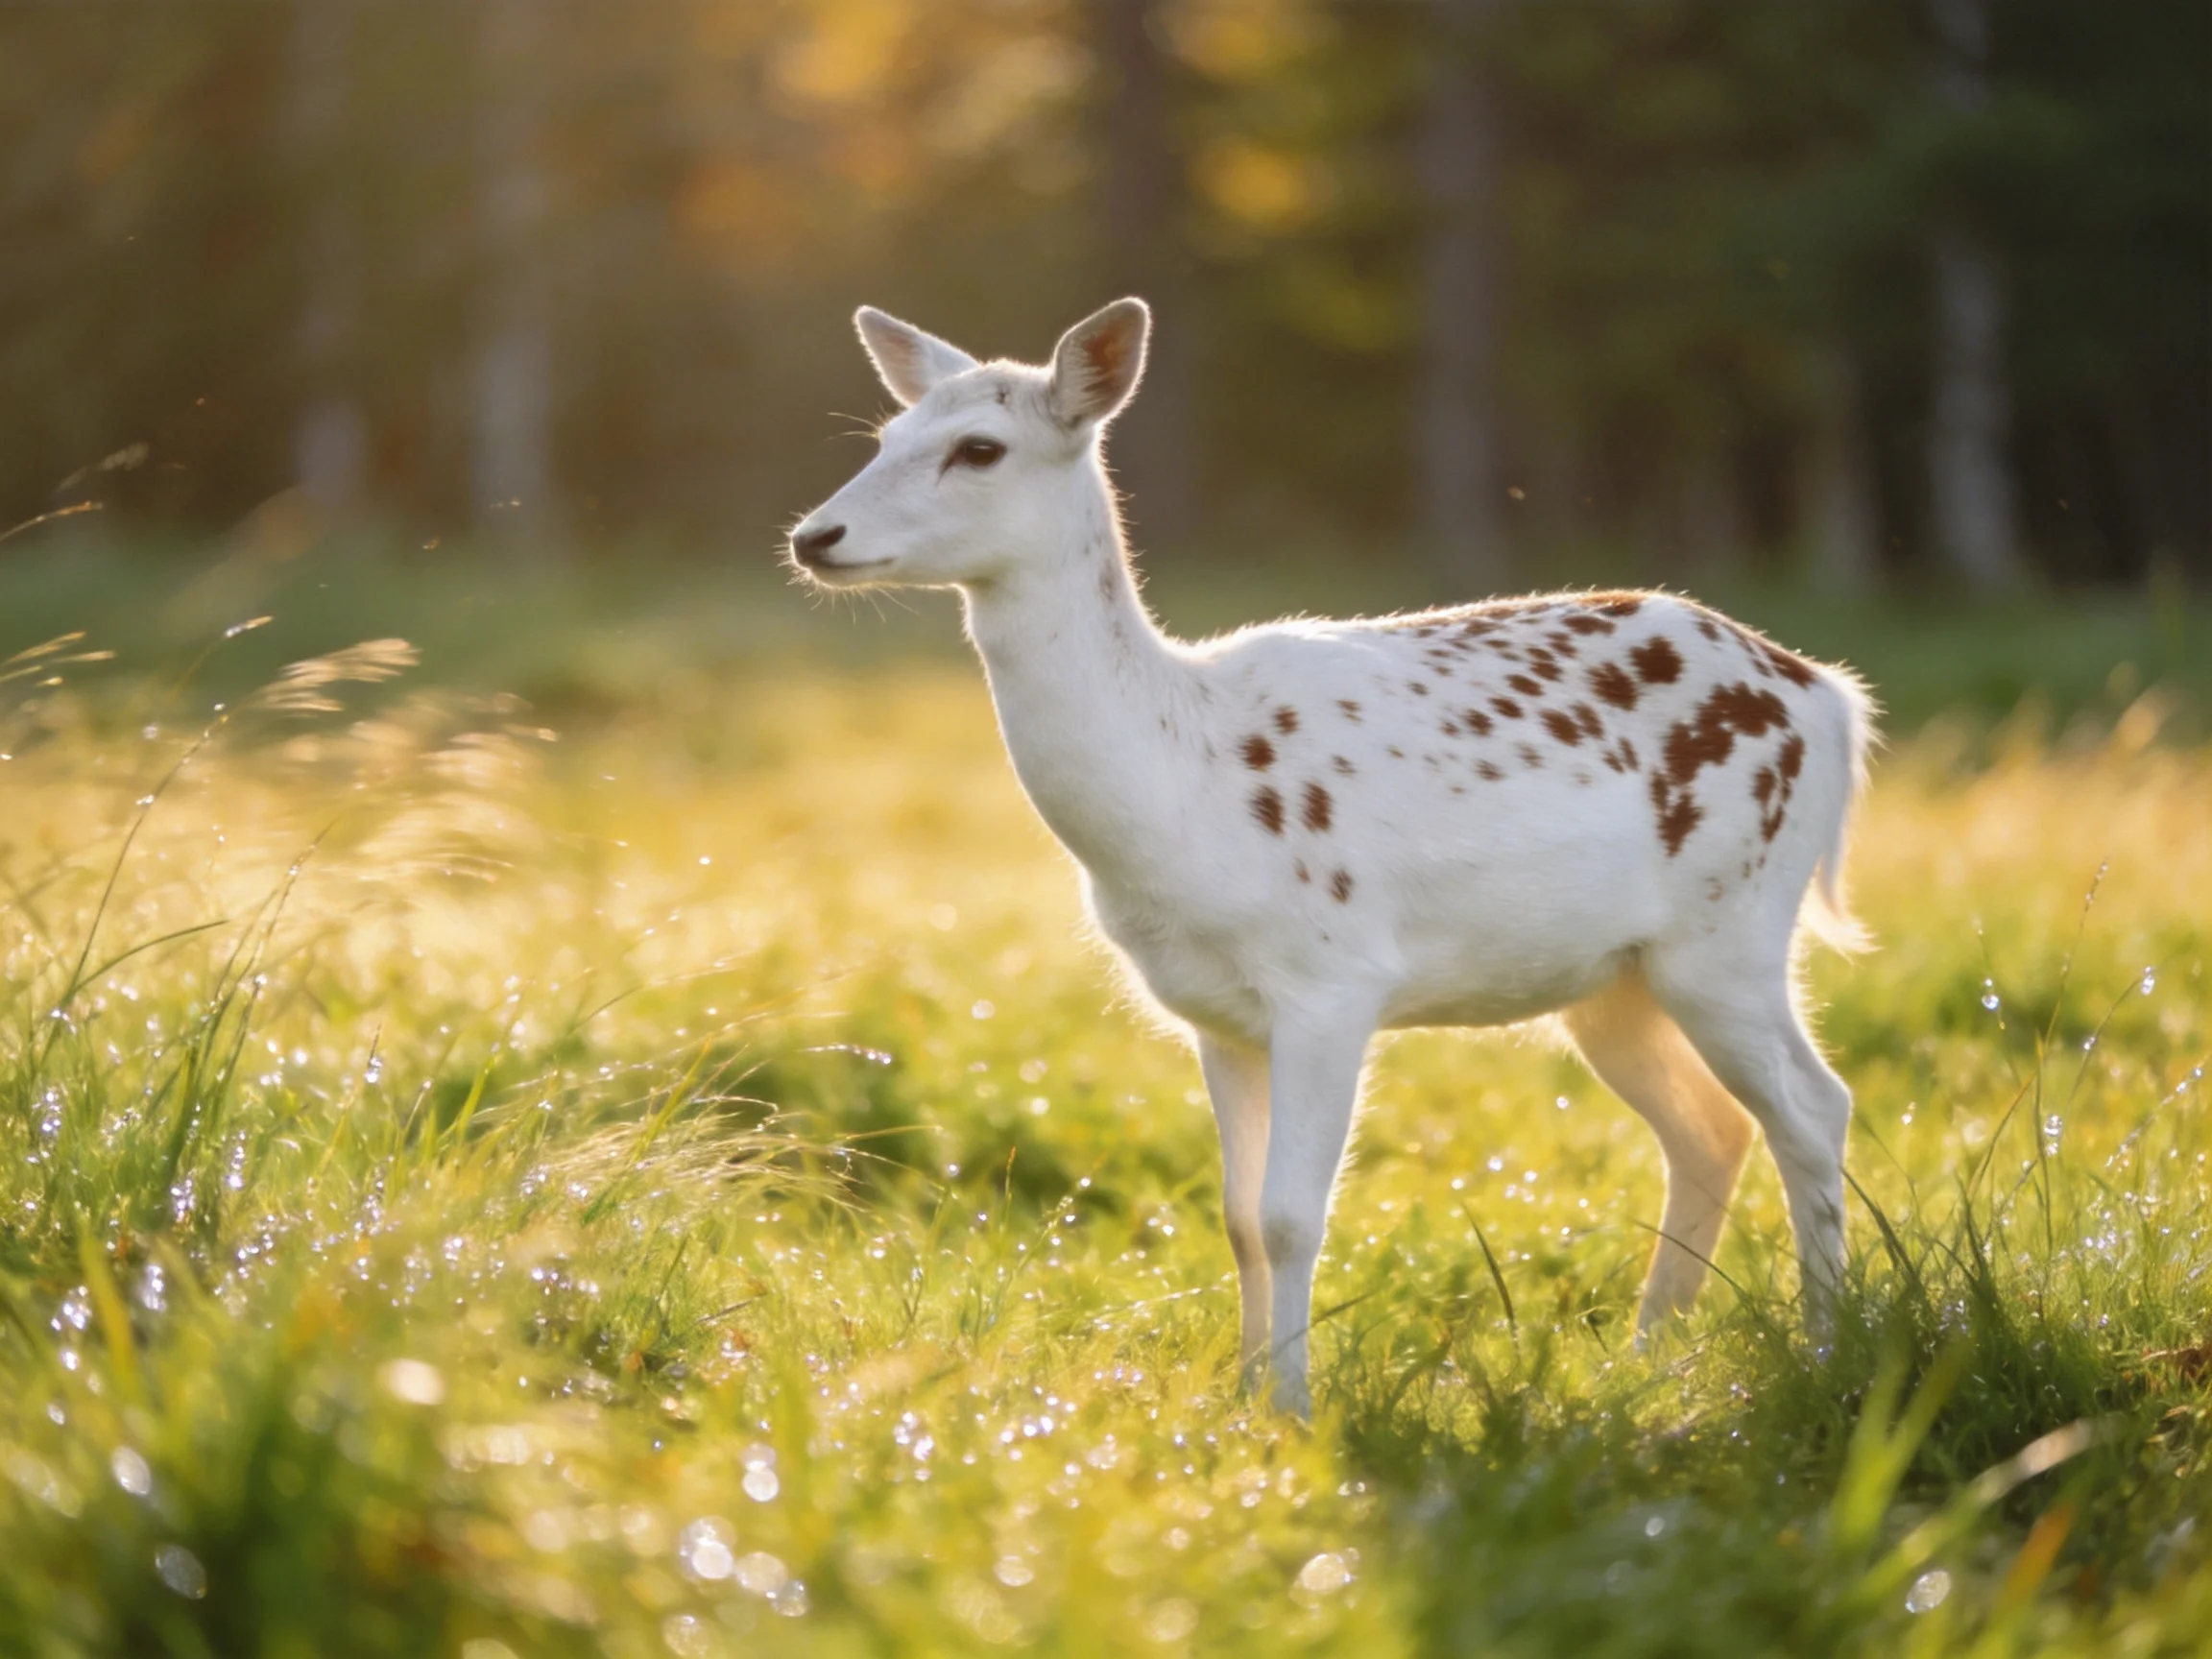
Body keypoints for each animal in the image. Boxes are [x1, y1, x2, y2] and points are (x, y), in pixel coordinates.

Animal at [787, 298, 1874, 1416]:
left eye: (979, 447)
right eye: (884, 436)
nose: (815, 535)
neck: (1182, 785)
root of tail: (1831, 698)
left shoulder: (1332, 978)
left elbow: (1289, 1216)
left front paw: (1295, 1412)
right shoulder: (1213, 1013)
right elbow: (1236, 1218)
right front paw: (1240, 1399)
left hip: (1733, 926)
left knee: (1813, 1108)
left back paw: (1826, 1352)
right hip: (1615, 978)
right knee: (1710, 1128)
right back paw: (1646, 1361)